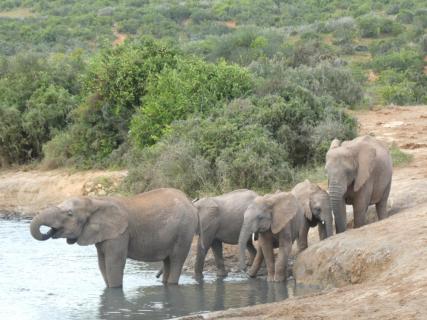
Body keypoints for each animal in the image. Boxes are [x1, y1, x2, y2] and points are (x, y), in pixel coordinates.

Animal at [30, 188, 199, 288]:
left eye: (70, 214)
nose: (48, 232)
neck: (95, 201)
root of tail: (189, 201)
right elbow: (102, 264)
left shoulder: (120, 234)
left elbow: (114, 263)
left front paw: (115, 290)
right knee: (167, 260)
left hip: (184, 230)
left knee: (177, 259)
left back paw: (171, 284)